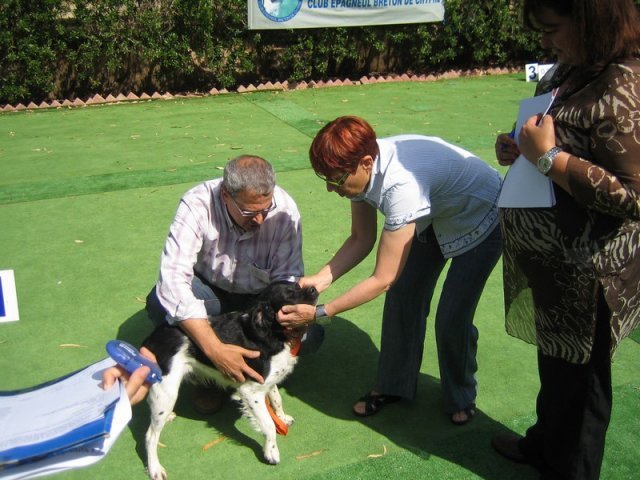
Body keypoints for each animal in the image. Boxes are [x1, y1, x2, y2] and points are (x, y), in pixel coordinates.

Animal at [142, 282, 318, 480]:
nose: (314, 288)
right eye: (289, 294)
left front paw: (282, 418)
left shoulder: (268, 381)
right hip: (166, 390)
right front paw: (271, 452)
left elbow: (276, 399)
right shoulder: (251, 391)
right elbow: (268, 425)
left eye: (297, 285)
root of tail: (154, 337)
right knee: (150, 435)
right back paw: (155, 468)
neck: (272, 333)